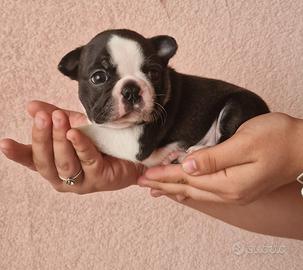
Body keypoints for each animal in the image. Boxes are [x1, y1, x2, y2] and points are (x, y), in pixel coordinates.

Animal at [58, 28, 270, 166]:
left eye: (153, 73)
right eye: (98, 77)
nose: (131, 90)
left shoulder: (134, 143)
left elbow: (88, 130)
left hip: (237, 106)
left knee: (225, 139)